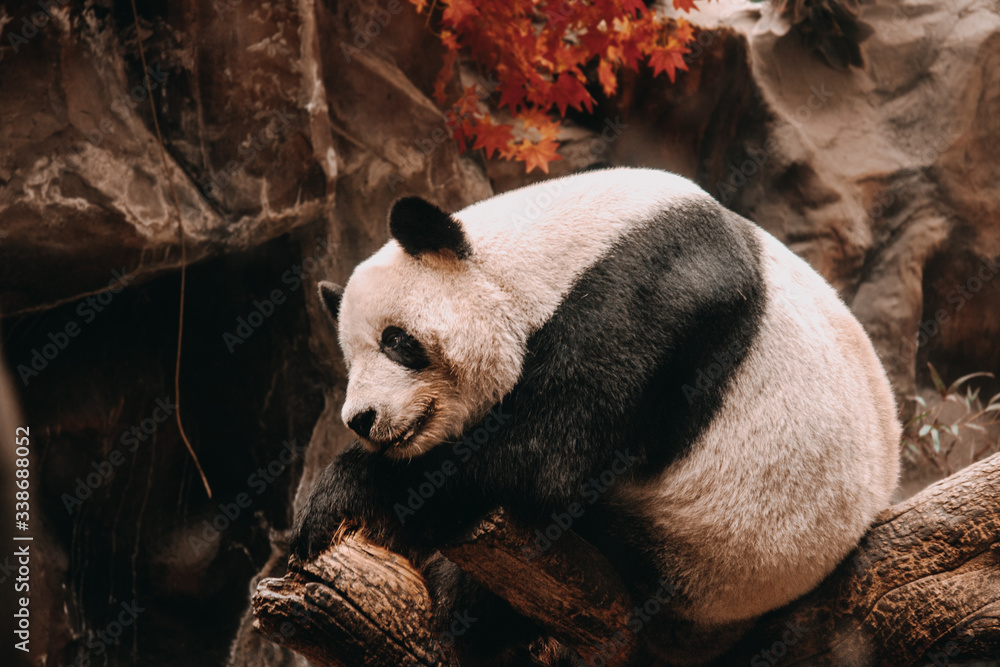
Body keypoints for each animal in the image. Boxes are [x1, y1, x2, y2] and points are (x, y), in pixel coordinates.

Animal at [291, 167, 901, 664]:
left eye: (397, 341)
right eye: (350, 360)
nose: (362, 419)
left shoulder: (651, 290)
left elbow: (539, 458)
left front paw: (339, 497)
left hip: (710, 552)